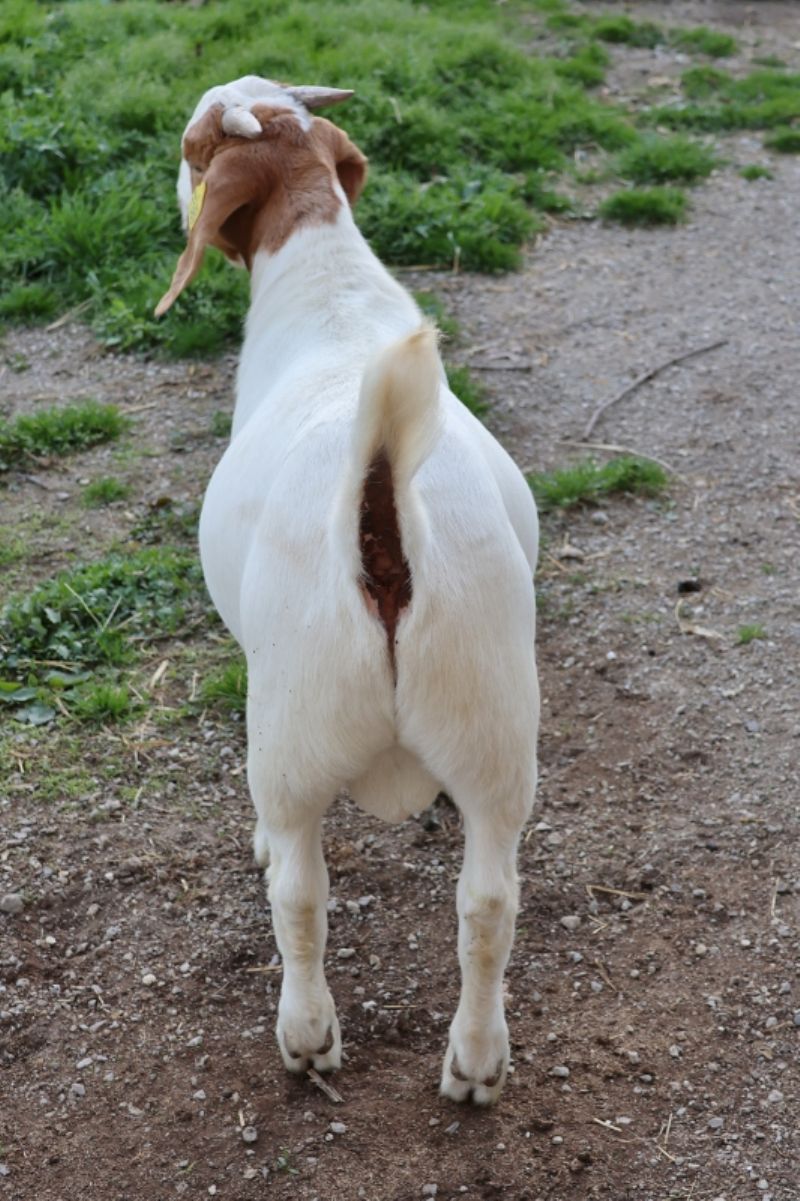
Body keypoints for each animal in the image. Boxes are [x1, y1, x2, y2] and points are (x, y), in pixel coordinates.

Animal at [156, 76, 540, 1105]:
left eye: (195, 150)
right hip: (495, 731)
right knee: (489, 902)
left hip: (292, 733)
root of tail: (381, 513)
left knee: (298, 890)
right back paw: (476, 1061)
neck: (333, 295)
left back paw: (308, 1034)